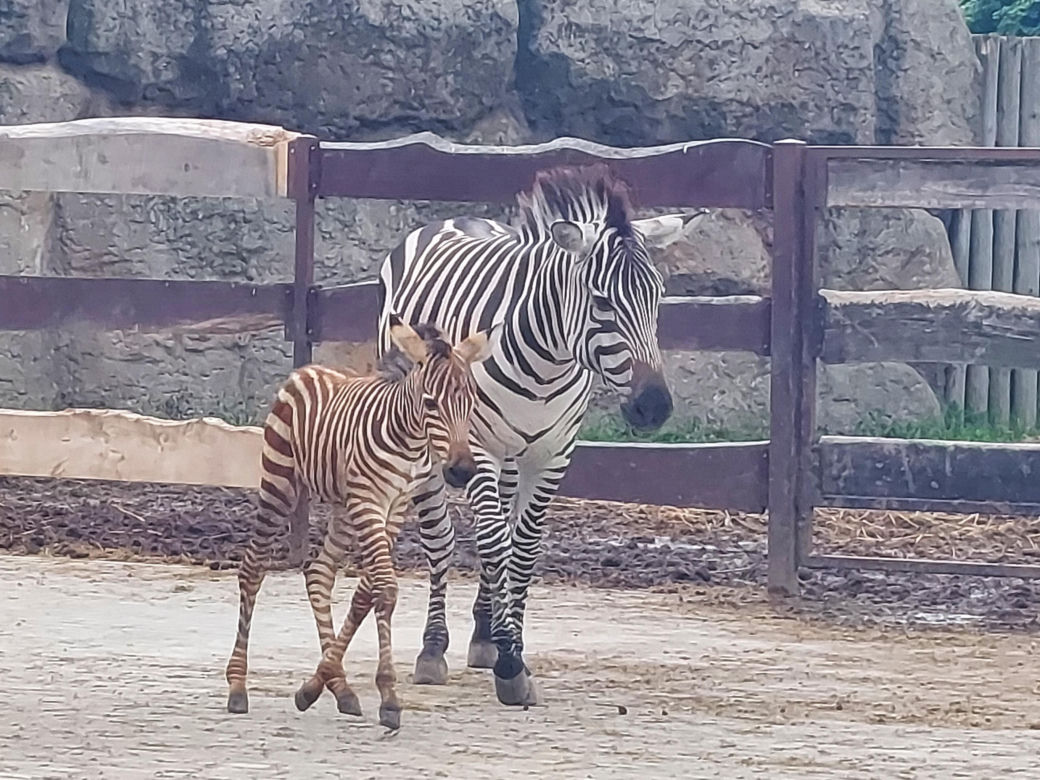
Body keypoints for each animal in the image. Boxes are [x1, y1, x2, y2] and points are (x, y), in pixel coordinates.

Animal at [224, 315, 497, 728]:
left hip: (342, 508)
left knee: (319, 572)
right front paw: (389, 697)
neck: (410, 442)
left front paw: (316, 684)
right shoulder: (370, 502)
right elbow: (384, 591)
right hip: (280, 482)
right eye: (431, 403)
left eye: (471, 402)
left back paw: (340, 688)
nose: (463, 471)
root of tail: (306, 369)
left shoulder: (394, 508)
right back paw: (238, 686)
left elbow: (366, 593)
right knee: (253, 568)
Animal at [376, 163, 696, 706]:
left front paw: (512, 651)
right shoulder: (478, 445)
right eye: (601, 302)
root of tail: (455, 218)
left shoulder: (553, 452)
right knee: (442, 538)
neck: (548, 362)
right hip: (434, 437)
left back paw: (484, 635)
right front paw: (507, 660)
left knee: (498, 527)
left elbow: (521, 548)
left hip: (511, 452)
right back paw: (434, 648)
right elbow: (490, 542)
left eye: (657, 297)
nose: (654, 407)